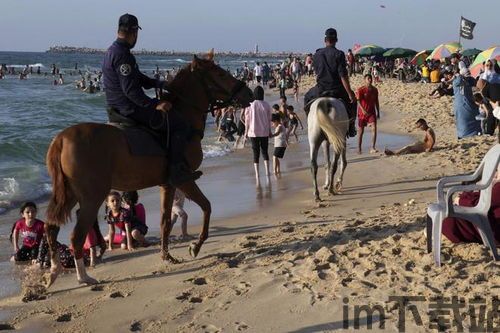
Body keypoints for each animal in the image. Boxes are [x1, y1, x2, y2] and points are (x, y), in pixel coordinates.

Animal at [44, 52, 254, 286]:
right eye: (220, 73)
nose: (249, 93)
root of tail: (61, 138)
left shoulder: (167, 184)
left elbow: (165, 221)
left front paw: (166, 255)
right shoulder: (183, 180)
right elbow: (206, 207)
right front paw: (196, 246)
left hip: (71, 194)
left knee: (51, 227)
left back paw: (54, 271)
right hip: (91, 197)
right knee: (76, 236)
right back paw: (84, 277)